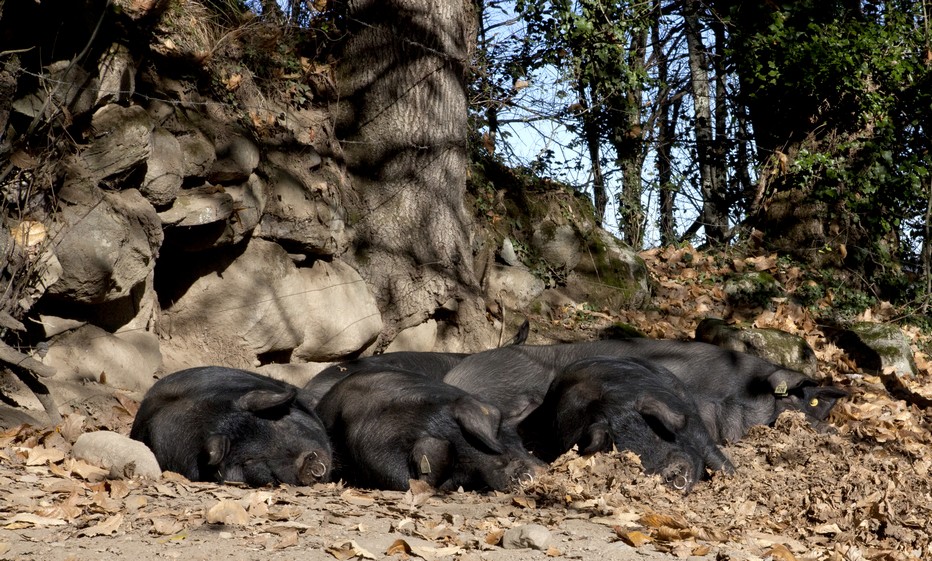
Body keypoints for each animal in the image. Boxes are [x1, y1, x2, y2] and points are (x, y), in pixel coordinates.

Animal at [520, 358, 732, 490]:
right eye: (631, 455)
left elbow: (714, 456)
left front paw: (732, 477)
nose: (670, 472)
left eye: (657, 434)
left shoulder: (693, 424)